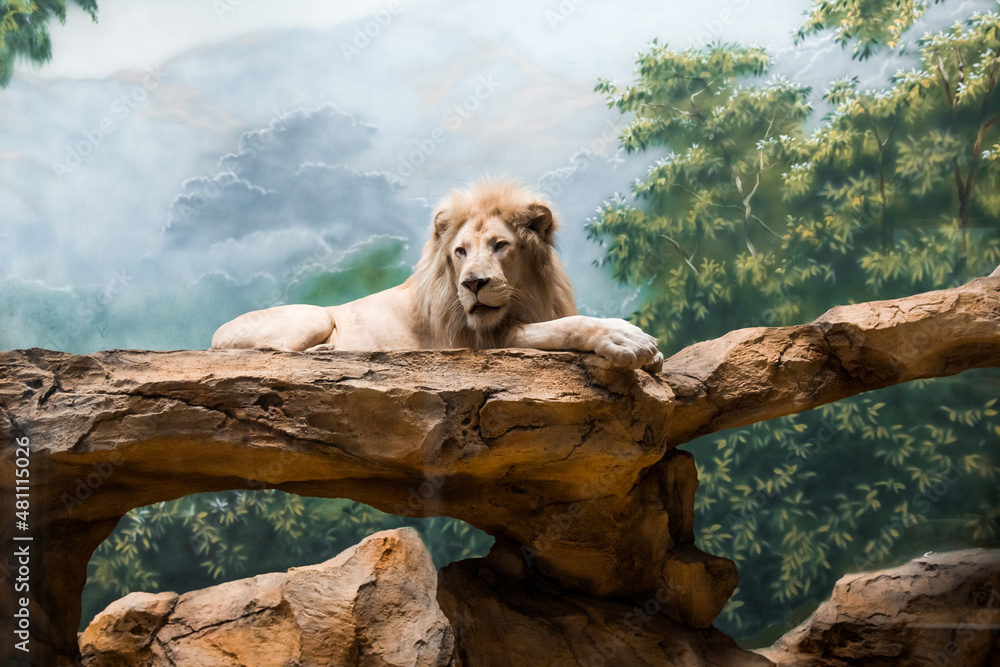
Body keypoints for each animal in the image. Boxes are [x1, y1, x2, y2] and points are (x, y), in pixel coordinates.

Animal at [211, 180, 663, 372]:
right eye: (460, 252)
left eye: (500, 245)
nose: (473, 284)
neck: (524, 295)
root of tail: (212, 337)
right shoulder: (477, 342)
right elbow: (568, 326)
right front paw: (629, 340)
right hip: (313, 315)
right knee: (274, 353)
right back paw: (330, 352)